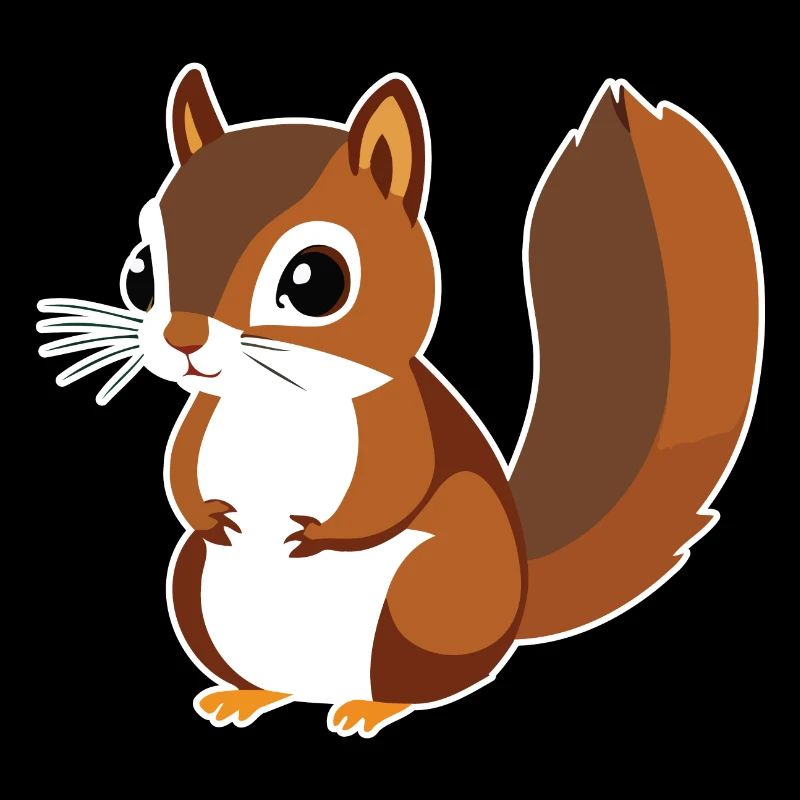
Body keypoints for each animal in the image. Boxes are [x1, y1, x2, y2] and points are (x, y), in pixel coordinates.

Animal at [37, 64, 762, 737]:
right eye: (140, 269)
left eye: (315, 281)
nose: (182, 337)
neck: (273, 402)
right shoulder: (202, 422)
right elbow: (180, 475)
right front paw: (211, 516)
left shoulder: (399, 423)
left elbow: (391, 489)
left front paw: (315, 535)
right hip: (195, 590)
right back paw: (246, 695)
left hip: (426, 599)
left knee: (419, 684)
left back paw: (370, 707)